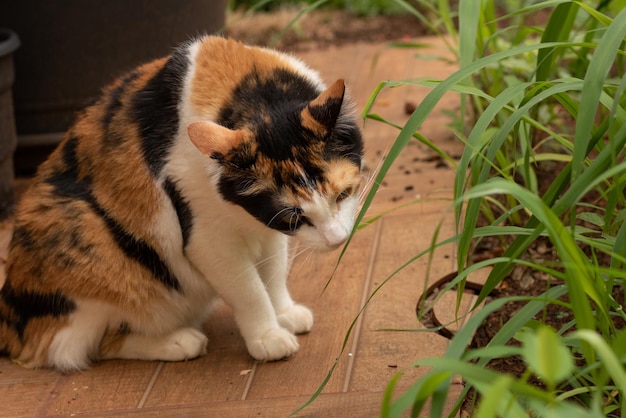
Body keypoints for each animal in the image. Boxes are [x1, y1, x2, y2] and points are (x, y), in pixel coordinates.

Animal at [0, 34, 364, 370]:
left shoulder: (265, 229)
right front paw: (267, 336)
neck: (247, 89)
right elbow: (249, 289)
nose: (337, 241)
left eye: (342, 194)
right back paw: (178, 341)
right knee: (82, 345)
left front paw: (284, 313)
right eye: (294, 218)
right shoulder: (209, 240)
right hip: (85, 232)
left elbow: (273, 273)